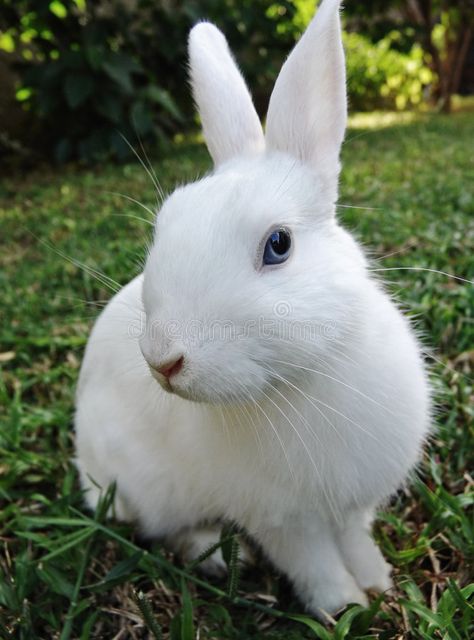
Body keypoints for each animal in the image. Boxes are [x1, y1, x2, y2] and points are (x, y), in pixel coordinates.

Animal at [73, 1, 430, 620]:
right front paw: (345, 608)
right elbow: (315, 566)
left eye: (278, 245)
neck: (302, 379)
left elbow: (355, 541)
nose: (162, 361)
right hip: (147, 489)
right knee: (162, 528)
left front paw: (378, 583)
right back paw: (212, 553)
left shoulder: (350, 506)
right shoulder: (285, 521)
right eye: (165, 225)